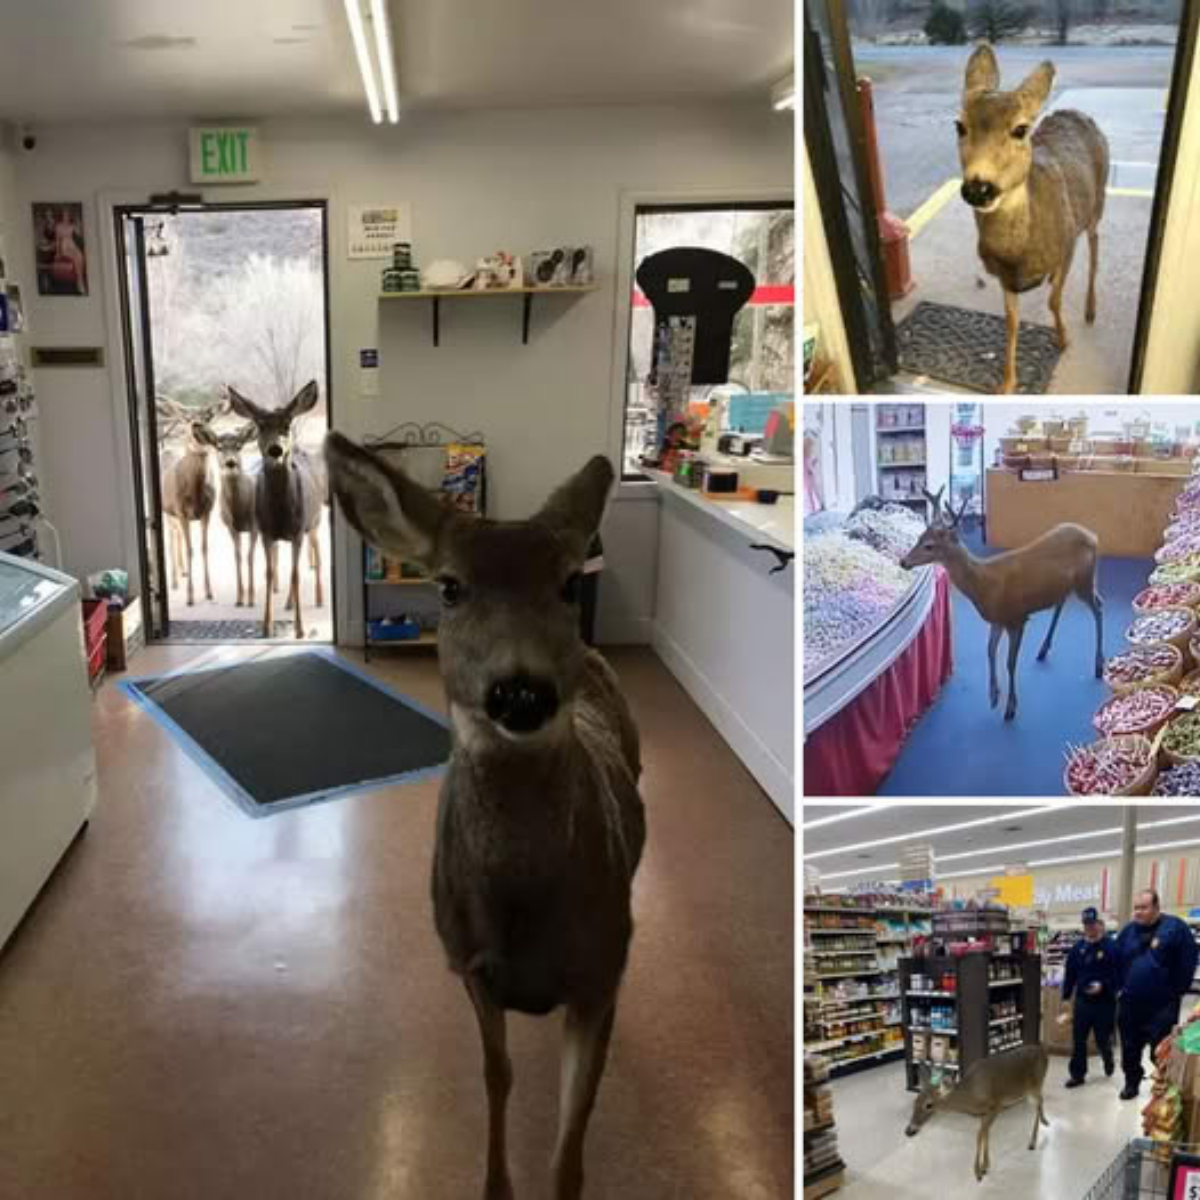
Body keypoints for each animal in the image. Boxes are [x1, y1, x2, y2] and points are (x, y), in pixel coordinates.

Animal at [226, 384, 324, 648]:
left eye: (287, 425)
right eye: (260, 426)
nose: (276, 449)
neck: (281, 512)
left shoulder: (298, 530)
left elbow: (296, 575)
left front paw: (300, 629)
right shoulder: (265, 532)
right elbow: (270, 574)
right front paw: (266, 626)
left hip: (315, 522)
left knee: (316, 556)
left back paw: (319, 598)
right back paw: (288, 603)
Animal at [321, 432, 648, 1200]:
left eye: (567, 583)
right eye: (448, 586)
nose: (520, 691)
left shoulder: (600, 972)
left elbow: (575, 1121)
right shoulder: (466, 961)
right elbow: (495, 1076)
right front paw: (495, 1186)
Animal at [902, 487, 1104, 720]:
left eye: (929, 546)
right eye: (919, 537)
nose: (903, 562)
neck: (986, 584)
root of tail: (1093, 536)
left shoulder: (1017, 619)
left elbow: (1010, 662)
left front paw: (1010, 707)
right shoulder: (996, 620)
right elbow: (989, 651)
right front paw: (993, 696)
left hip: (1084, 581)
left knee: (1099, 607)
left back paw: (1099, 666)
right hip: (1067, 585)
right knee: (1063, 603)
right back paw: (1043, 650)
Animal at [902, 1041, 1046, 1180]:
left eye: (929, 1105)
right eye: (915, 1102)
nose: (909, 1131)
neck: (972, 1095)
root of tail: (1043, 1051)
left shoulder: (996, 1107)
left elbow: (979, 1136)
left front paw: (978, 1172)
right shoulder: (984, 1113)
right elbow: (986, 1134)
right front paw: (985, 1166)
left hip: (1036, 1085)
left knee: (1040, 1103)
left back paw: (1034, 1141)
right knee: (1039, 1103)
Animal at [955, 44, 1113, 391]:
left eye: (1020, 129)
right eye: (959, 125)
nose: (978, 188)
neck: (1020, 253)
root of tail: (1076, 112)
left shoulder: (1067, 245)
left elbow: (1054, 301)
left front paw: (1063, 339)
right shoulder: (1004, 277)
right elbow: (1011, 322)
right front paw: (1007, 384)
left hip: (1097, 203)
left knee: (1095, 244)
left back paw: (1091, 310)